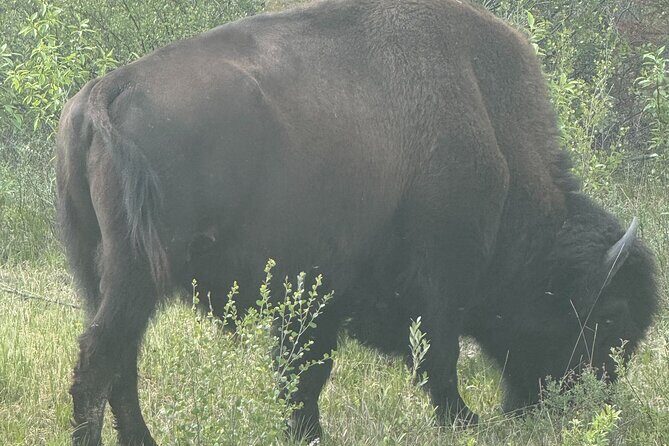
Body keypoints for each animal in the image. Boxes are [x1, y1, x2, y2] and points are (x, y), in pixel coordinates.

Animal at [56, 0, 658, 444]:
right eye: (611, 316)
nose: (585, 407)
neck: (489, 128)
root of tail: (105, 93)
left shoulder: (317, 300)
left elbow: (305, 378)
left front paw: (306, 432)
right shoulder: (437, 282)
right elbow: (434, 356)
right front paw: (463, 420)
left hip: (101, 274)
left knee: (119, 363)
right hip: (136, 276)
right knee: (100, 362)